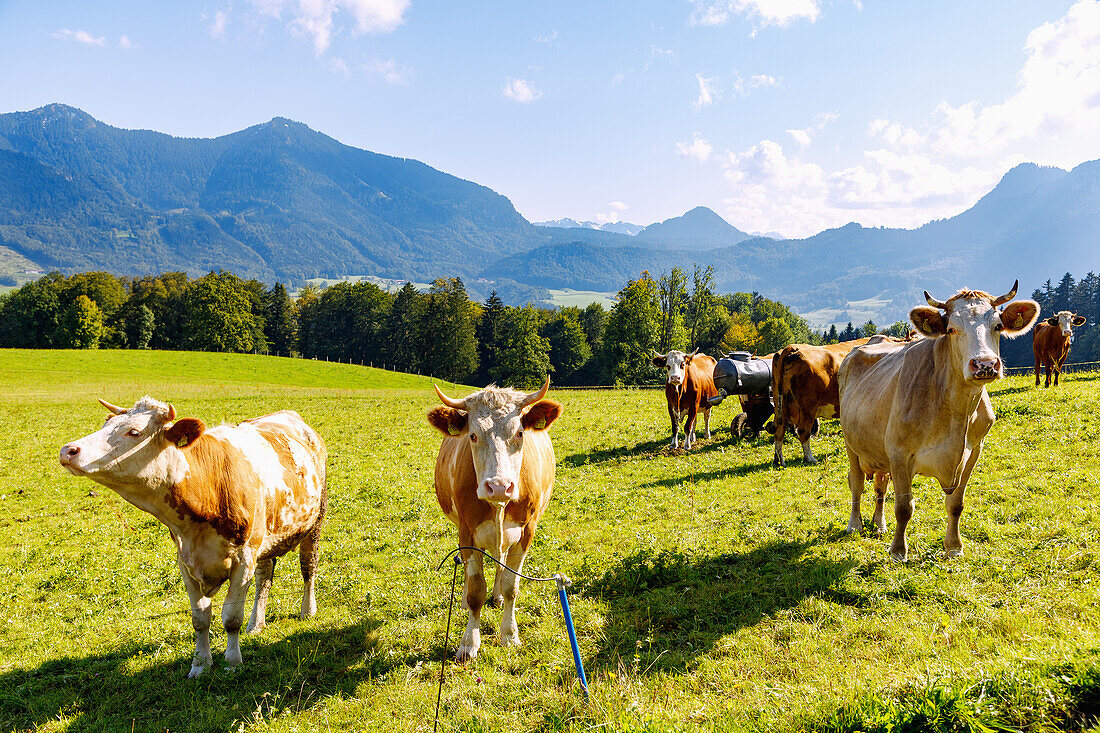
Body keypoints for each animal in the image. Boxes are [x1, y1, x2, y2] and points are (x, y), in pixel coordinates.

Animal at [59, 396, 325, 677]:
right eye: (106, 424)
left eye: (134, 432)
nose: (68, 450)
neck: (208, 486)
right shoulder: (185, 561)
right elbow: (200, 618)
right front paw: (200, 664)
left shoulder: (244, 559)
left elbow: (231, 618)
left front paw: (232, 662)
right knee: (264, 578)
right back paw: (256, 623)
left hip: (314, 523)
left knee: (308, 568)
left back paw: (307, 610)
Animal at [424, 374, 563, 660]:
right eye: (473, 435)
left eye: (520, 433)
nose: (499, 486)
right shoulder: (466, 531)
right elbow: (477, 590)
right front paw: (469, 642)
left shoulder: (526, 531)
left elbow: (512, 585)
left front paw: (509, 634)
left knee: (501, 561)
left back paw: (497, 596)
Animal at [840, 279, 1038, 559]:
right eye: (951, 329)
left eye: (998, 326)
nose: (985, 364)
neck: (956, 412)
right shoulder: (899, 453)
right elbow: (904, 506)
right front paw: (898, 551)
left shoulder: (973, 451)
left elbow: (956, 503)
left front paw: (954, 547)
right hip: (851, 444)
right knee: (857, 483)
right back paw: (854, 524)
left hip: (878, 449)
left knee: (880, 486)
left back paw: (879, 524)